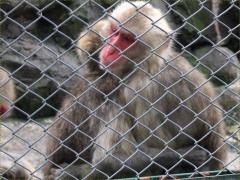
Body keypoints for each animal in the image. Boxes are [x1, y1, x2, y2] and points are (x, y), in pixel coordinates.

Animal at [43, 1, 227, 179]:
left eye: (127, 39)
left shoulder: (139, 89)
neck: (148, 62)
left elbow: (110, 159)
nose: (110, 49)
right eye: (115, 32)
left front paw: (72, 172)